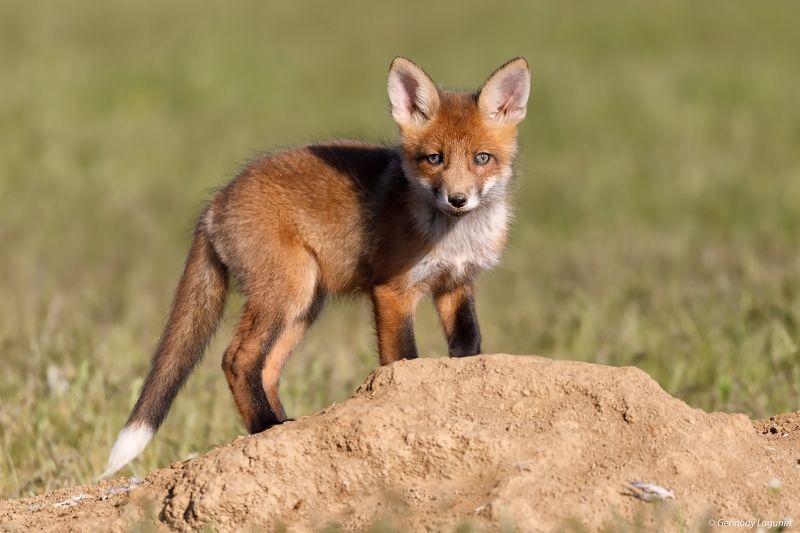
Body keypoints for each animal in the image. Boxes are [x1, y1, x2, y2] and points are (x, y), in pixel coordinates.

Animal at [102, 56, 531, 478]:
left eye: (481, 158)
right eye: (434, 158)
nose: (457, 199)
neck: (454, 236)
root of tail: (218, 199)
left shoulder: (454, 284)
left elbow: (468, 343)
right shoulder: (392, 290)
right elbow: (403, 358)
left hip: (304, 307)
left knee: (267, 368)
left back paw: (281, 425)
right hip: (287, 294)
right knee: (236, 360)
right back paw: (266, 427)